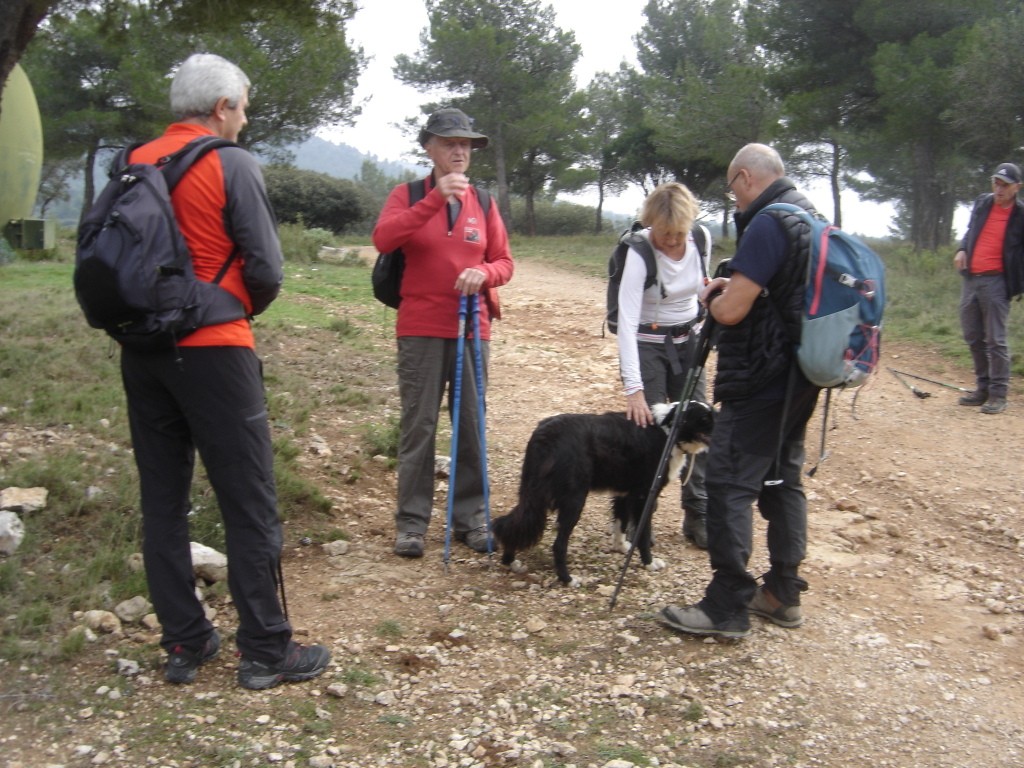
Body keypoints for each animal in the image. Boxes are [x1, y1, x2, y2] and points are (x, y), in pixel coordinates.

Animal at [491, 399, 716, 585]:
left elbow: (621, 524)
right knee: (558, 544)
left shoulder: (625, 494)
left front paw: (621, 547)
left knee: (513, 521)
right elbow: (643, 534)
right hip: (574, 500)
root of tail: (545, 434)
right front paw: (649, 563)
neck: (669, 432)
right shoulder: (645, 496)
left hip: (532, 492)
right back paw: (567, 579)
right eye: (704, 419)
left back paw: (510, 561)